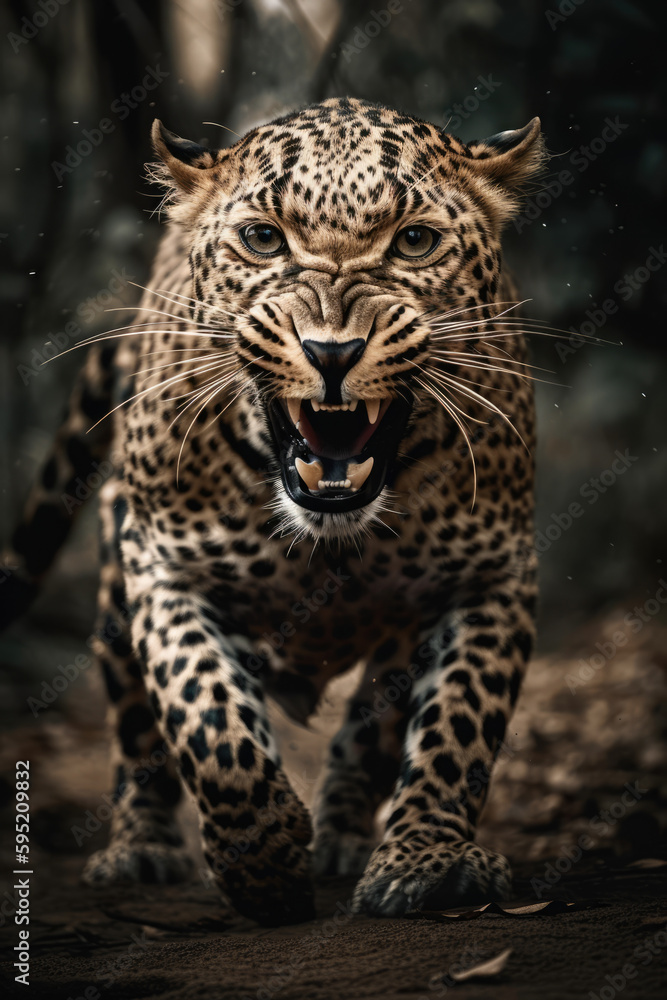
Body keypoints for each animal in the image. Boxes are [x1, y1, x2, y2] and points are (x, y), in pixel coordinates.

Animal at [4, 97, 546, 925]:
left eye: (414, 241)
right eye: (263, 239)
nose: (331, 352)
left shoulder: (496, 573)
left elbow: (459, 725)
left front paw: (425, 863)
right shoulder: (165, 568)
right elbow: (206, 718)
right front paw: (261, 861)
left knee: (370, 725)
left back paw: (348, 835)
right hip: (114, 589)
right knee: (134, 723)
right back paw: (141, 851)